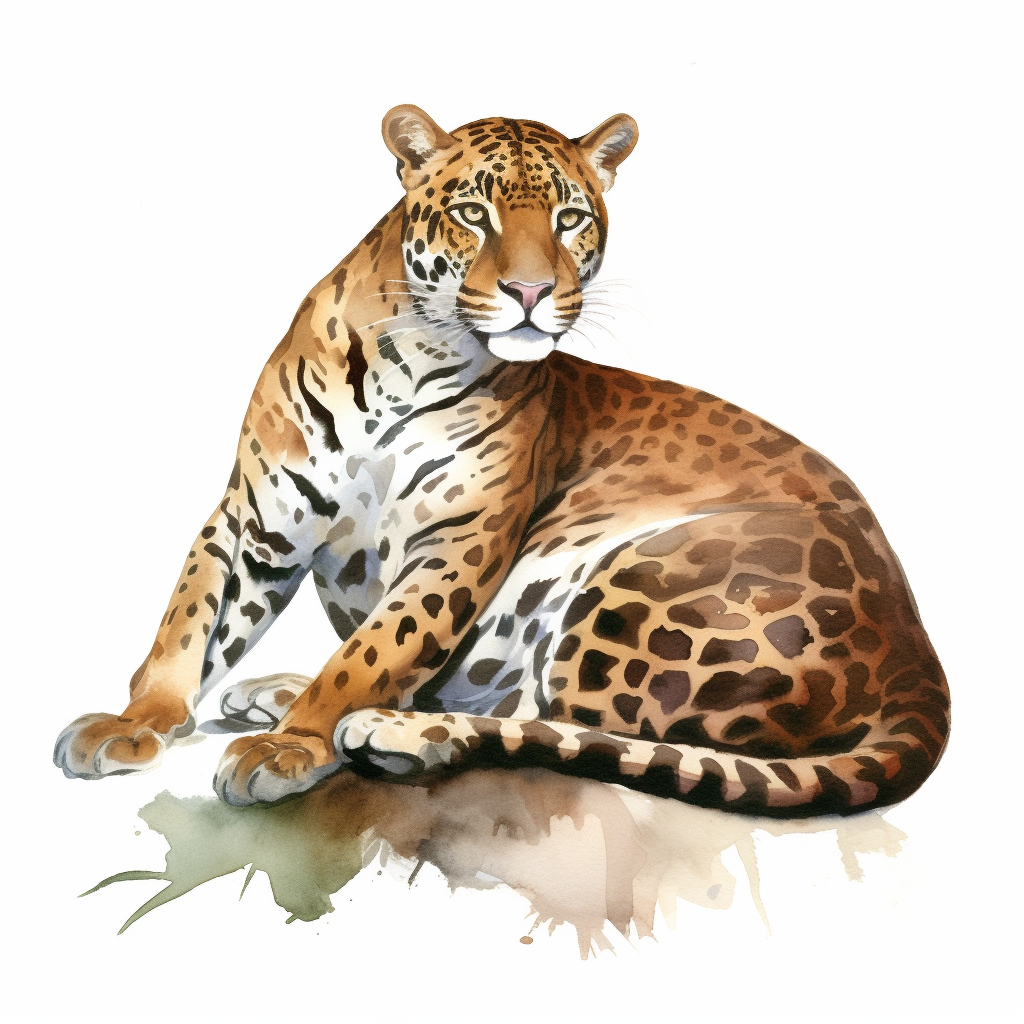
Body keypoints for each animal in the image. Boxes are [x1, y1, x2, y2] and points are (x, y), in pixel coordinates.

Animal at [54, 105, 950, 817]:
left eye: (571, 218)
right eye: (473, 213)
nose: (529, 293)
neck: (408, 362)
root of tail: (916, 656)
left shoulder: (458, 541)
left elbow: (373, 652)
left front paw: (295, 743)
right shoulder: (257, 515)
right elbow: (188, 620)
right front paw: (135, 725)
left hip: (631, 583)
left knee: (577, 728)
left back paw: (385, 730)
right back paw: (283, 697)